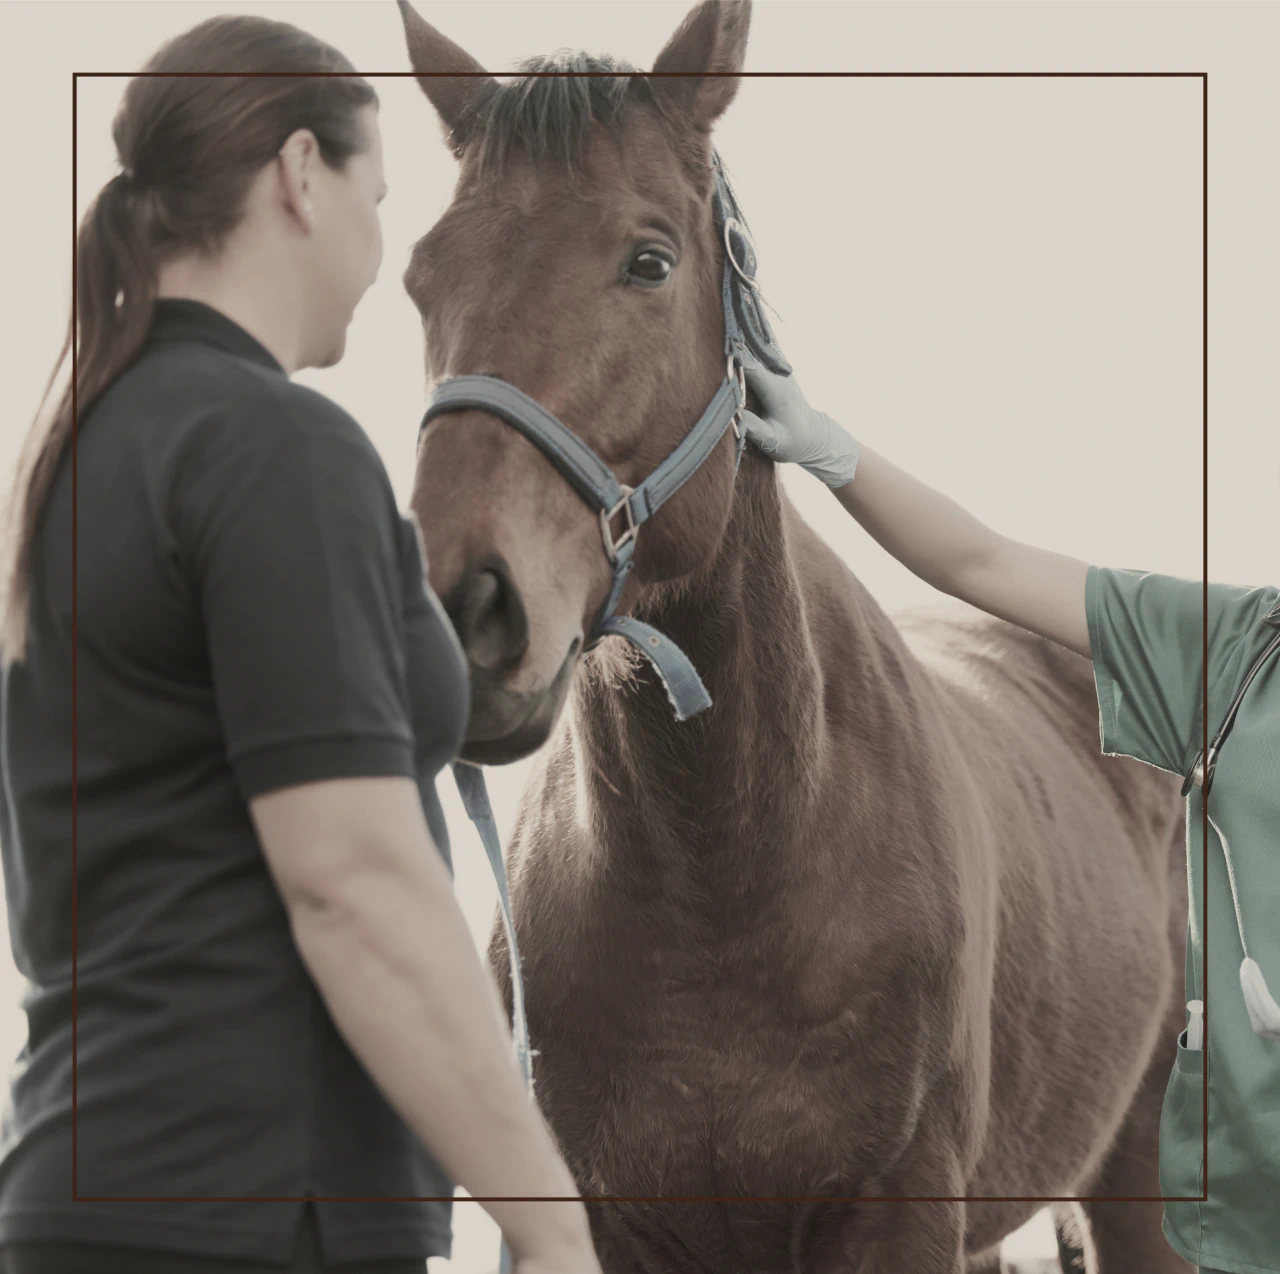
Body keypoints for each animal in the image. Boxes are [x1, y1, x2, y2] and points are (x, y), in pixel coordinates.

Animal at [395, 3, 1191, 1270]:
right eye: (422, 275)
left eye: (649, 259)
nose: (460, 608)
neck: (725, 878)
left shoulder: (897, 1207)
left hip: (1131, 1176)